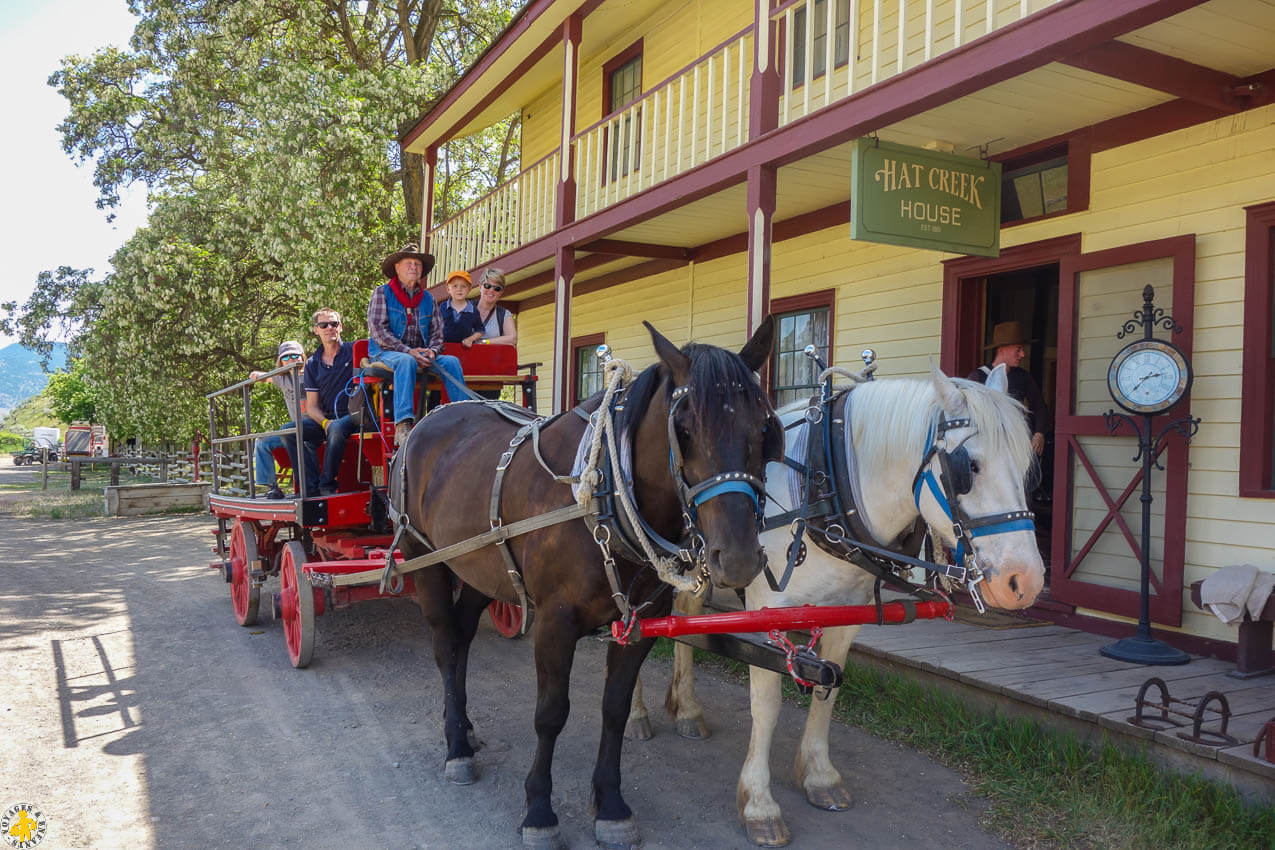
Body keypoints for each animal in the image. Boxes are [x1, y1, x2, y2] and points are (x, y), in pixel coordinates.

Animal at [395, 317, 775, 846]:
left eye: (764, 427)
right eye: (683, 429)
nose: (737, 557)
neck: (606, 494)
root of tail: (428, 421)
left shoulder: (639, 624)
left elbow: (614, 709)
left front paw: (610, 804)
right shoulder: (555, 622)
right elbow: (551, 713)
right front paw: (539, 810)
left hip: (481, 567)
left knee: (464, 636)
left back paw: (465, 725)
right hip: (424, 559)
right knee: (446, 644)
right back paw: (456, 746)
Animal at [629, 361, 1045, 846]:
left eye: (1027, 466)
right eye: (969, 467)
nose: (1026, 581)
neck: (821, 488)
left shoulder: (846, 615)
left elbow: (829, 695)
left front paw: (819, 777)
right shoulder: (769, 614)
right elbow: (766, 707)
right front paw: (759, 804)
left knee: (683, 619)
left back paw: (686, 708)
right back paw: (636, 715)